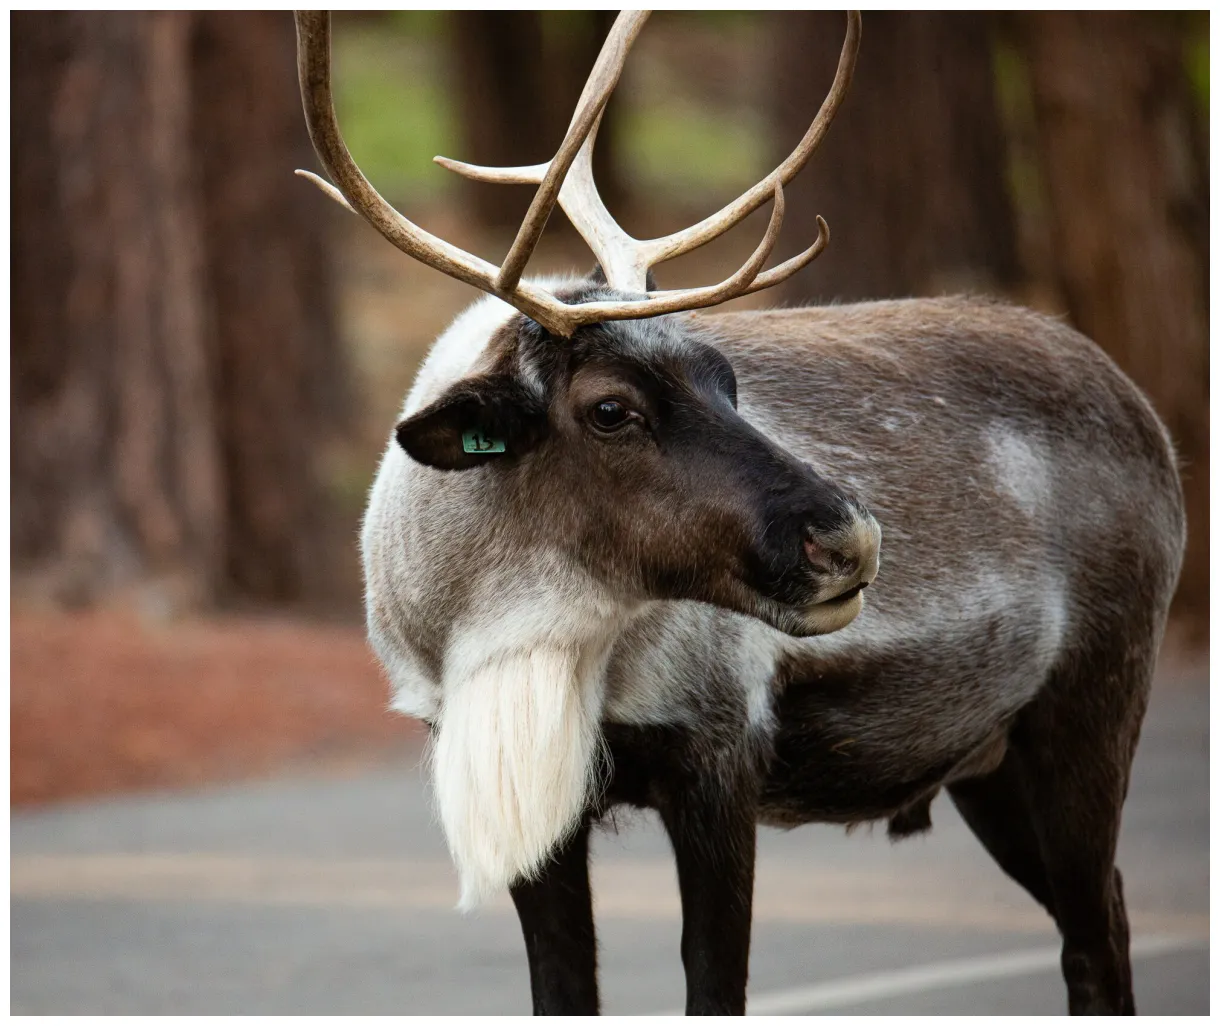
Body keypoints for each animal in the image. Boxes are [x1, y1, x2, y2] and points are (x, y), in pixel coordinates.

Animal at [294, 10, 1185, 1016]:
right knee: (1101, 916)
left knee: (1097, 936)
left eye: (726, 377)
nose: (849, 538)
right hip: (988, 762)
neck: (495, 634)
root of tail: (1138, 405)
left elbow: (714, 984)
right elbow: (564, 988)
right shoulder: (528, 799)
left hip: (1092, 706)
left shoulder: (718, 756)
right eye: (610, 408)